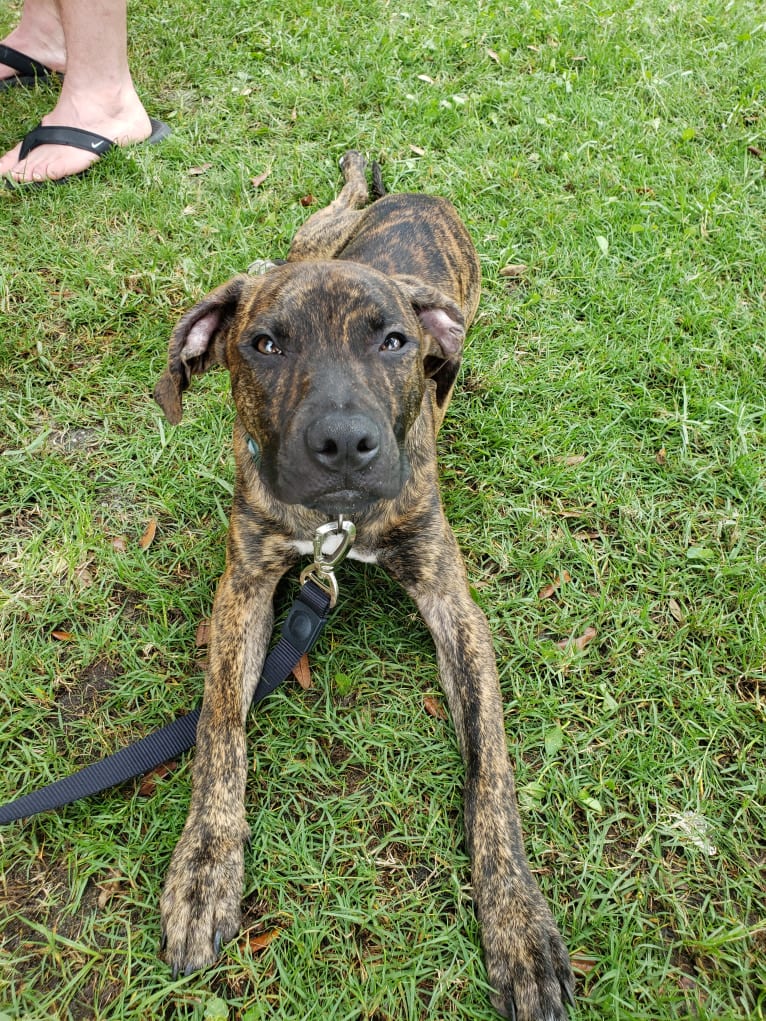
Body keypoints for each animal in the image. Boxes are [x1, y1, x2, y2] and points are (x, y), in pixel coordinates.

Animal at [156, 151, 571, 1021]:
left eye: (393, 342)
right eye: (264, 344)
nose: (345, 443)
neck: (337, 523)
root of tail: (419, 194)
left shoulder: (455, 608)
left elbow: (492, 772)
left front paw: (519, 922)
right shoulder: (244, 586)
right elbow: (219, 728)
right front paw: (205, 869)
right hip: (309, 237)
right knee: (314, 222)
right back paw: (357, 171)